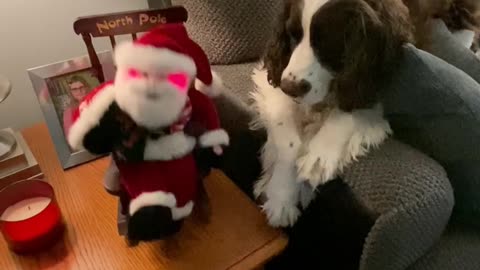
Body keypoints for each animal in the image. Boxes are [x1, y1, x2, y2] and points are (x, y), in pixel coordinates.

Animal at [251, 0, 412, 228]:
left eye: (327, 42)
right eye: (292, 35)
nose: (290, 87)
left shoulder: (370, 91)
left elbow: (345, 113)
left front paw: (319, 157)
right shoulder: (274, 79)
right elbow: (290, 142)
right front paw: (281, 196)